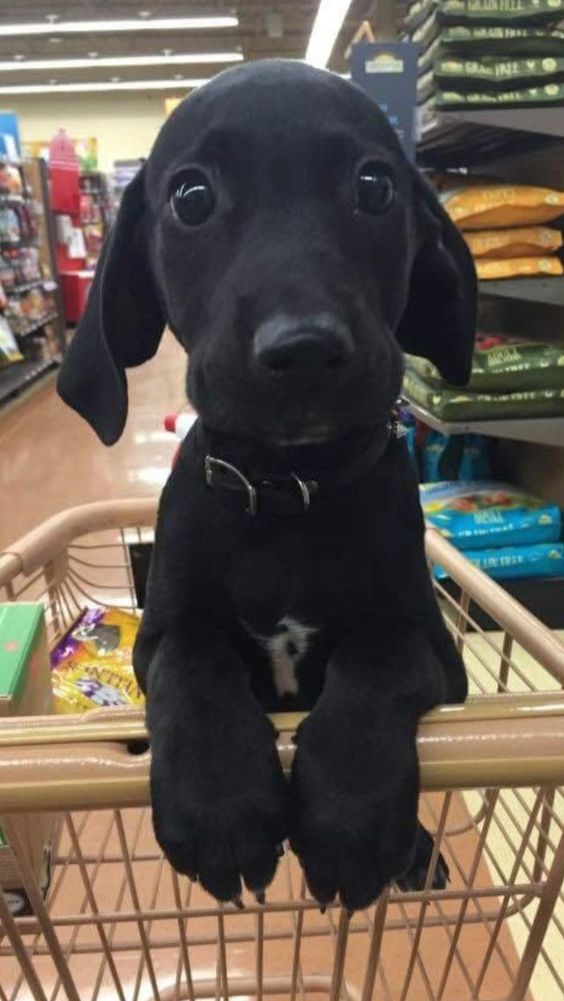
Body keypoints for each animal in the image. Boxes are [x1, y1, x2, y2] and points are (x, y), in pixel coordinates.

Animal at [58, 58, 476, 912]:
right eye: (191, 198)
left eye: (376, 186)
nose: (305, 348)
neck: (288, 493)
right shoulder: (158, 637)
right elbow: (195, 663)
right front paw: (219, 802)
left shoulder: (438, 652)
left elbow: (378, 657)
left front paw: (350, 815)